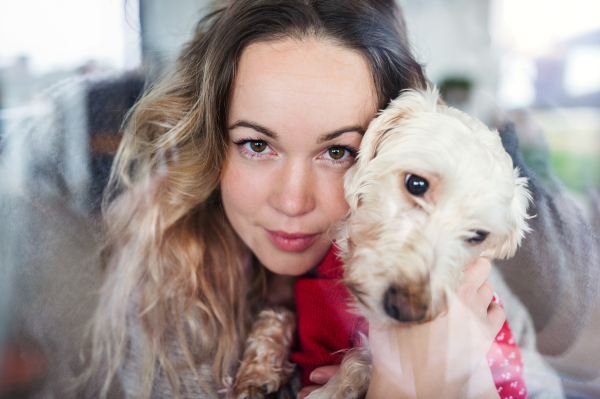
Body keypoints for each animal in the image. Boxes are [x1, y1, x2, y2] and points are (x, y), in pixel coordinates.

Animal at [232, 86, 532, 398]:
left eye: (478, 235)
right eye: (416, 184)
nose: (409, 309)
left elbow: (359, 360)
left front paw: (328, 390)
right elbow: (276, 314)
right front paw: (256, 371)